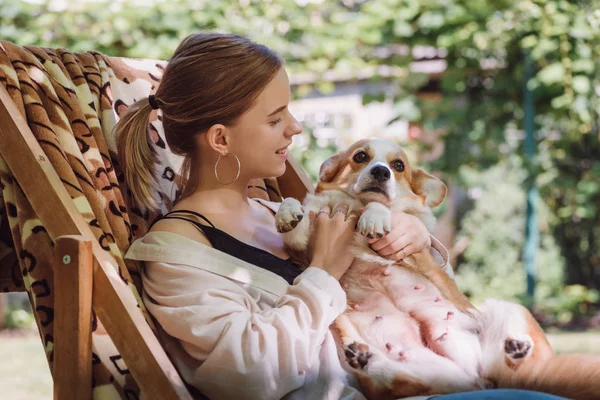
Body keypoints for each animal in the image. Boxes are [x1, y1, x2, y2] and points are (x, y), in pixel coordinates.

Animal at [276, 138, 600, 400]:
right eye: (360, 156)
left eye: (398, 165)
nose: (381, 172)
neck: (353, 205)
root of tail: (477, 375)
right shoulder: (304, 250)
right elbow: (294, 221)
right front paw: (287, 213)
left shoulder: (412, 246)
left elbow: (384, 209)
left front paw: (375, 216)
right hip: (400, 364)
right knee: (397, 382)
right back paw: (367, 359)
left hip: (507, 309)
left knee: (523, 363)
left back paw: (517, 347)